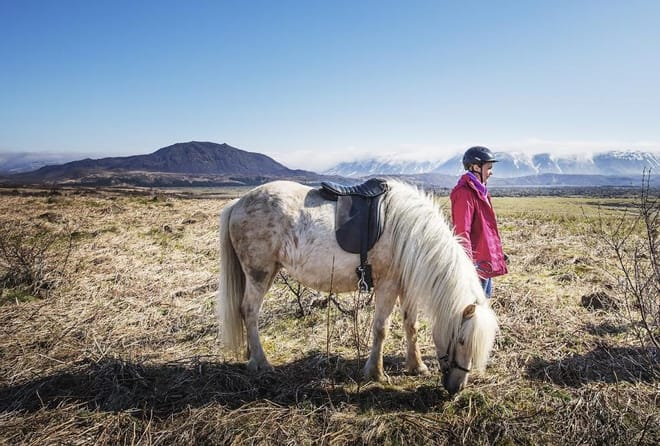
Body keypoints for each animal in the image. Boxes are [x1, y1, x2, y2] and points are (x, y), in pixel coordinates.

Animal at [216, 180, 498, 394]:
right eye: (461, 340)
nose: (457, 388)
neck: (411, 233)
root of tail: (237, 203)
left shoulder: (406, 286)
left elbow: (411, 325)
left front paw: (416, 366)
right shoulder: (388, 284)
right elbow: (382, 328)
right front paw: (375, 373)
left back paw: (250, 354)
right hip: (259, 273)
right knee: (249, 311)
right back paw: (261, 362)